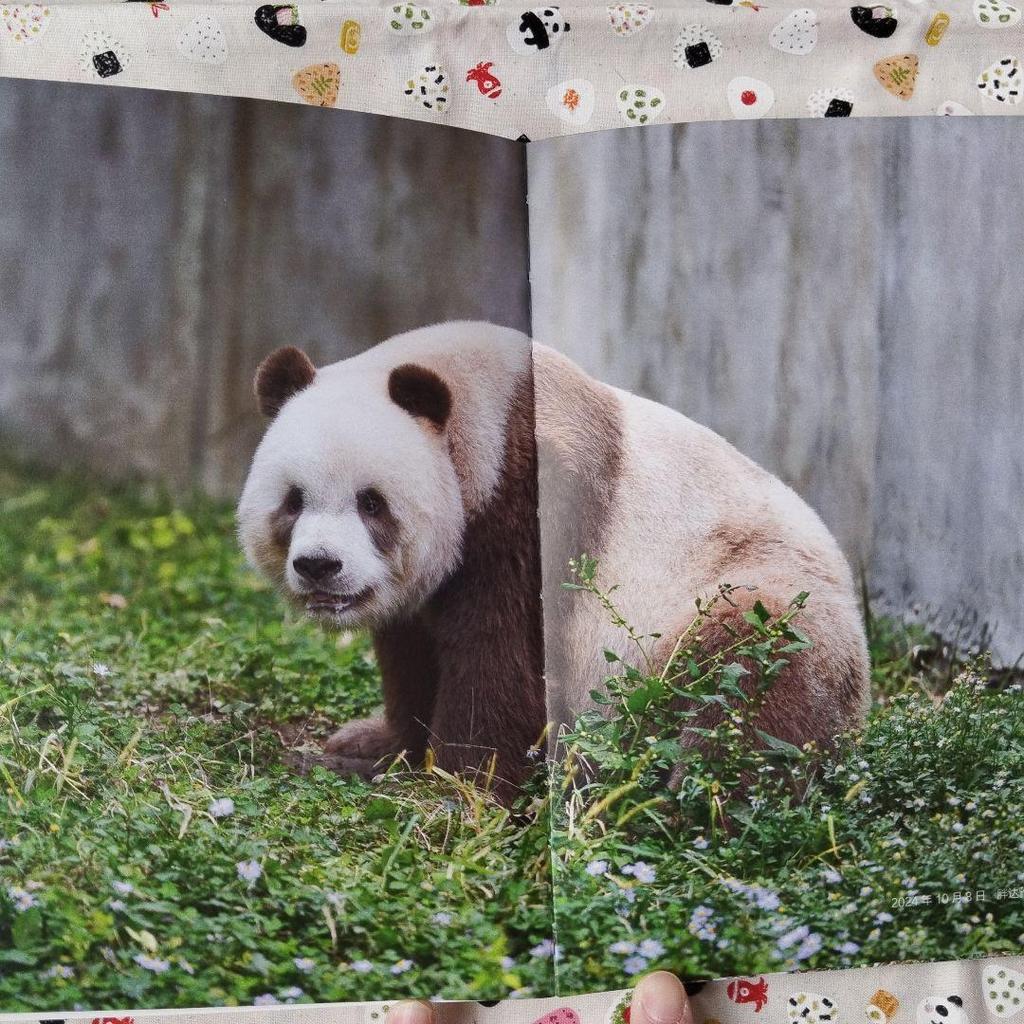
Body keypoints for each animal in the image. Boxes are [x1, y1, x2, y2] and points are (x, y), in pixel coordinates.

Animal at [237, 321, 869, 797]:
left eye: (371, 502)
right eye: (293, 500)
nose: (319, 565)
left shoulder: (532, 504)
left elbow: (499, 655)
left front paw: (458, 790)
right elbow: (413, 648)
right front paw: (374, 747)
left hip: (757, 591)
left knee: (751, 678)